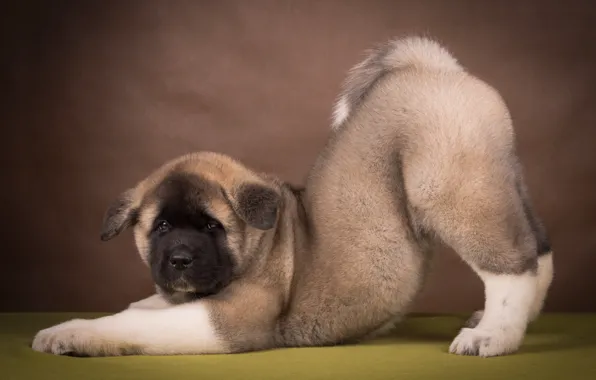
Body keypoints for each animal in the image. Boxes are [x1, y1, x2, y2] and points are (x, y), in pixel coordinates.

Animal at [29, 35, 556, 356]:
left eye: (211, 227)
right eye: (160, 227)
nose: (178, 260)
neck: (260, 242)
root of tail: (430, 68)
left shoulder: (228, 319)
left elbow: (133, 325)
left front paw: (70, 332)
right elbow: (138, 309)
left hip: (454, 189)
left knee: (511, 265)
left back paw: (494, 334)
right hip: (499, 178)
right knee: (538, 245)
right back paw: (514, 320)